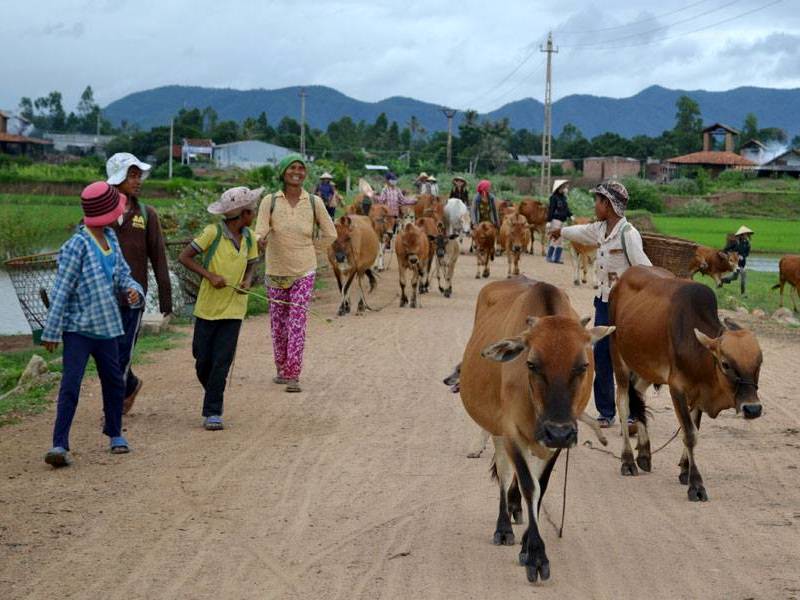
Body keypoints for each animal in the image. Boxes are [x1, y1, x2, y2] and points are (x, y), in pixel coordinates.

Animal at [456, 278, 612, 584]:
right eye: (531, 363)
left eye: (583, 365)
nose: (558, 431)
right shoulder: (512, 431)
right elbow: (530, 485)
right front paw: (537, 556)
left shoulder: (557, 441)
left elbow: (542, 485)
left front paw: (528, 545)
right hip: (498, 430)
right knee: (505, 473)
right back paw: (504, 525)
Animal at [608, 268, 764, 502]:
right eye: (725, 364)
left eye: (759, 363)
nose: (753, 409)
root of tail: (623, 278)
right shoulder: (677, 388)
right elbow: (690, 434)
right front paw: (696, 484)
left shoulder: (698, 394)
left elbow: (693, 427)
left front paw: (684, 470)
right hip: (620, 360)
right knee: (624, 403)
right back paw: (627, 460)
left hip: (646, 368)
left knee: (639, 397)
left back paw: (644, 452)